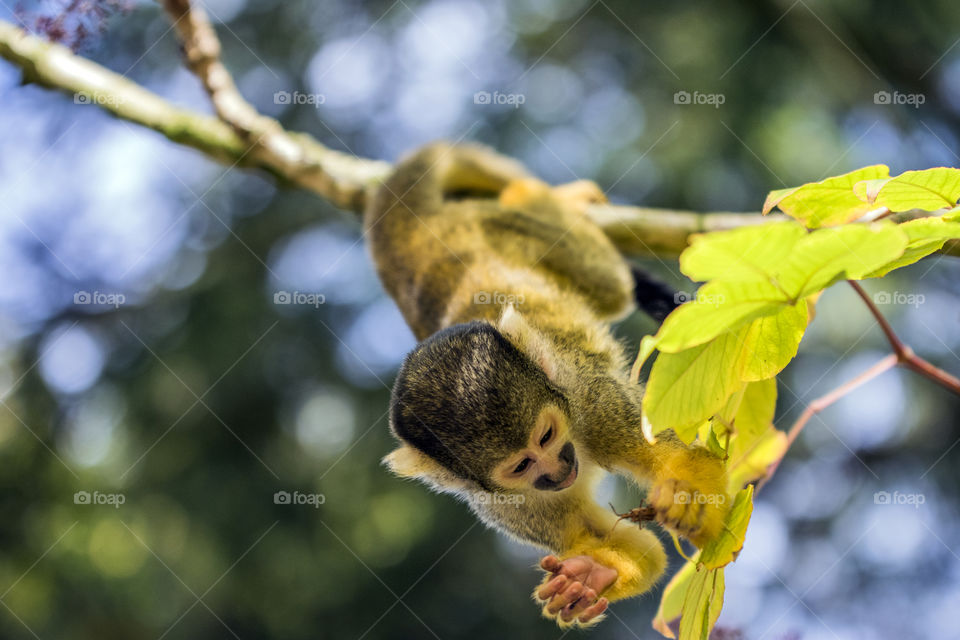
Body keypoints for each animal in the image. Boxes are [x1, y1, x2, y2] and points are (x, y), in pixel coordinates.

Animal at [365, 143, 730, 628]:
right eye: (522, 465)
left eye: (547, 435)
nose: (557, 471)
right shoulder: (504, 503)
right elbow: (613, 545)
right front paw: (592, 575)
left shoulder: (594, 401)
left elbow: (678, 454)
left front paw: (687, 494)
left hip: (516, 230)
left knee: (611, 285)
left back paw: (535, 194)